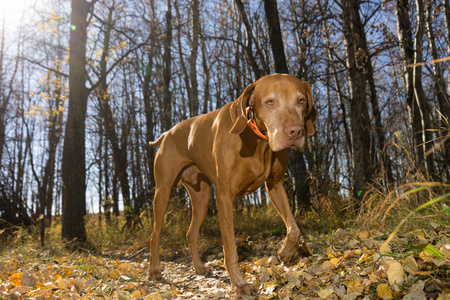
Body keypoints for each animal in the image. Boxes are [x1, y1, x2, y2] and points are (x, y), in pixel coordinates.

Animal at [148, 73, 316, 296]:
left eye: (301, 101)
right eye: (270, 102)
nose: (296, 132)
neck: (257, 141)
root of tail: (166, 133)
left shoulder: (275, 186)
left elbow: (294, 229)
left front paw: (285, 252)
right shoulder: (225, 197)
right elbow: (230, 248)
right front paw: (239, 283)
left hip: (201, 198)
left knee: (191, 233)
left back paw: (199, 267)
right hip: (163, 192)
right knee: (155, 234)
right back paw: (154, 271)